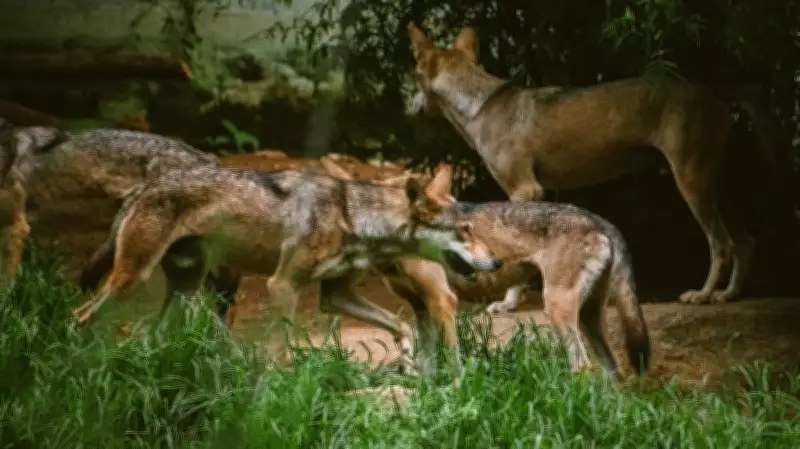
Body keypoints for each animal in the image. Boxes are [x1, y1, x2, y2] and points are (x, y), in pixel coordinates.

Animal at [74, 163, 503, 372]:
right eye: (465, 231)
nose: (496, 261)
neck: (352, 216)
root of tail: (141, 189)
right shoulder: (282, 286)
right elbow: (277, 351)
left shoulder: (335, 296)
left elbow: (401, 326)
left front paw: (410, 362)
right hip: (135, 279)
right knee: (82, 317)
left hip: (183, 291)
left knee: (150, 336)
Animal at [320, 157, 651, 376]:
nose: (495, 261)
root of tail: (600, 220)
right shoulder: (421, 307)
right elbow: (426, 366)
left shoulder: (443, 300)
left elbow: (452, 360)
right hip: (587, 318)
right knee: (611, 370)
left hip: (558, 309)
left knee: (583, 367)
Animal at [406, 23, 780, 307]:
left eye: (414, 79)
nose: (408, 105)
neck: (479, 105)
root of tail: (715, 90)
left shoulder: (525, 191)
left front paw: (509, 303)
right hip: (714, 185)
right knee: (746, 242)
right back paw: (728, 296)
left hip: (691, 183)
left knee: (722, 244)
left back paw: (702, 295)